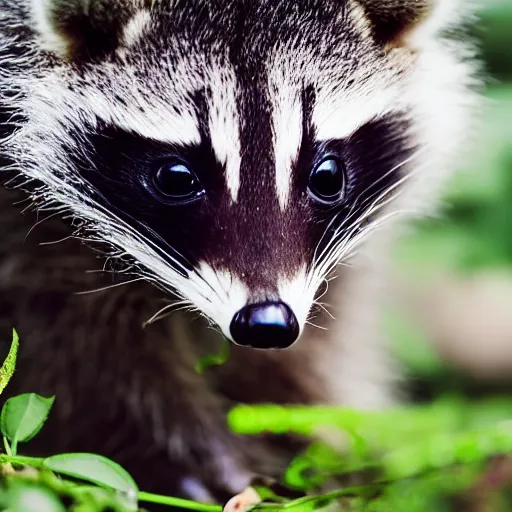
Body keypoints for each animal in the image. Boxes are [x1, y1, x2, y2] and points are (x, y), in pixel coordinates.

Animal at [0, 0, 480, 504]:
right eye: (176, 178)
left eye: (327, 175)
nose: (267, 323)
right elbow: (69, 341)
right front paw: (174, 458)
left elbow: (320, 338)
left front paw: (306, 430)